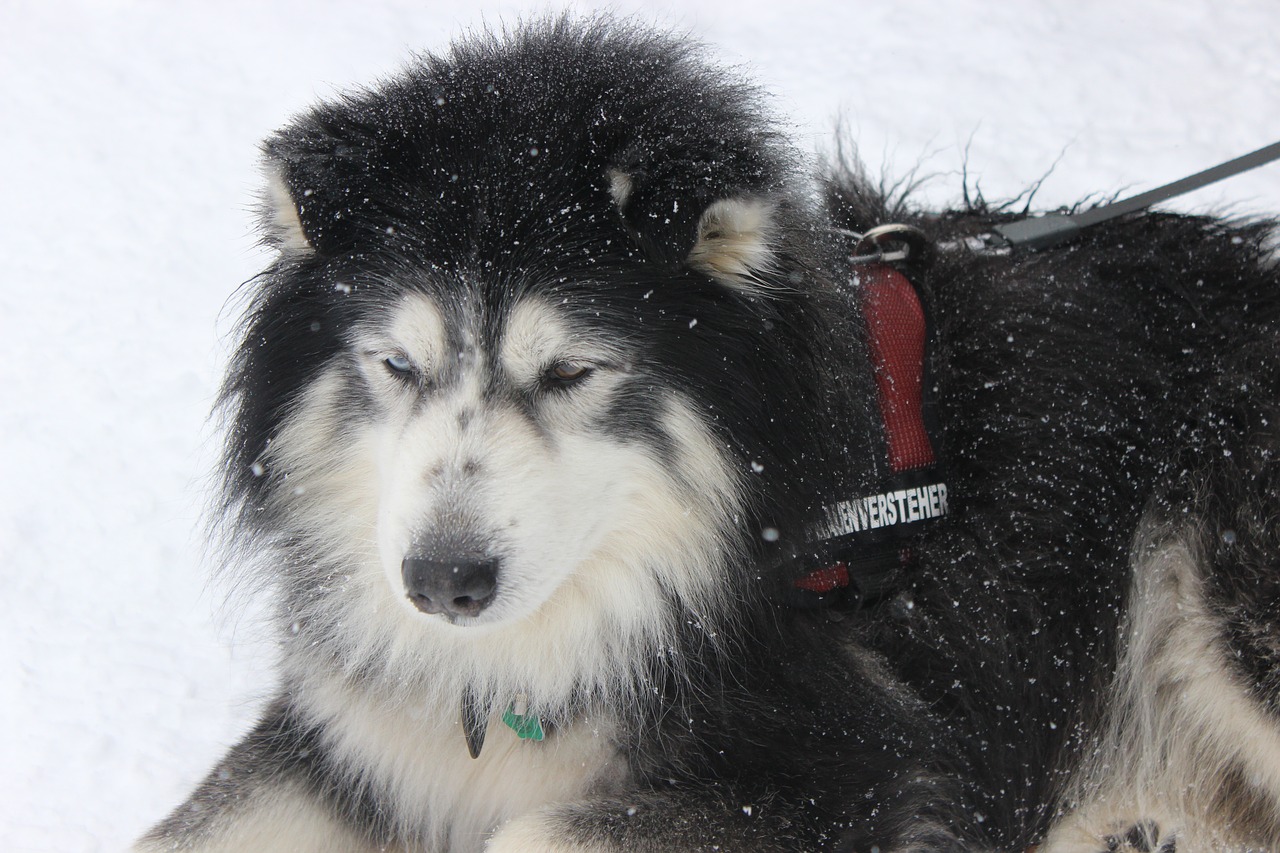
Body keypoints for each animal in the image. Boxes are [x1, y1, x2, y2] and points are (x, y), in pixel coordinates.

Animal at [137, 14, 1280, 850]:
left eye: (570, 371)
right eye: (398, 366)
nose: (442, 583)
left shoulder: (865, 765)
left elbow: (534, 831)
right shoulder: (351, 733)